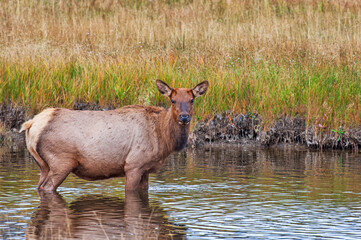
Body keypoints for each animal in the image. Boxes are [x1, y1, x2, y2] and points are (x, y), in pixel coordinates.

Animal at [19, 79, 208, 192]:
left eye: (192, 100)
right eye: (173, 100)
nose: (184, 117)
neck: (163, 138)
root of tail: (32, 124)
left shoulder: (145, 169)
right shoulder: (133, 165)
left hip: (43, 165)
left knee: (39, 186)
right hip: (61, 162)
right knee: (46, 188)